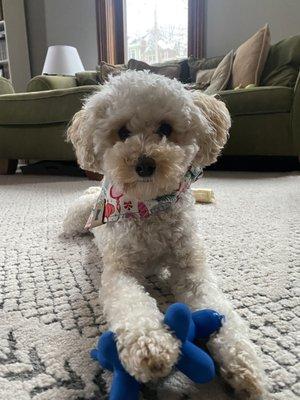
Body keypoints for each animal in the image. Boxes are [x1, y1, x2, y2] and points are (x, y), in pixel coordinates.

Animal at [63, 70, 264, 398]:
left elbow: (221, 313)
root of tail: (95, 191)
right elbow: (133, 306)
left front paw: (244, 365)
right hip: (75, 221)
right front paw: (150, 347)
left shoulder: (191, 271)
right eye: (122, 132)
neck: (149, 208)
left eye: (166, 128)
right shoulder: (121, 272)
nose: (145, 164)